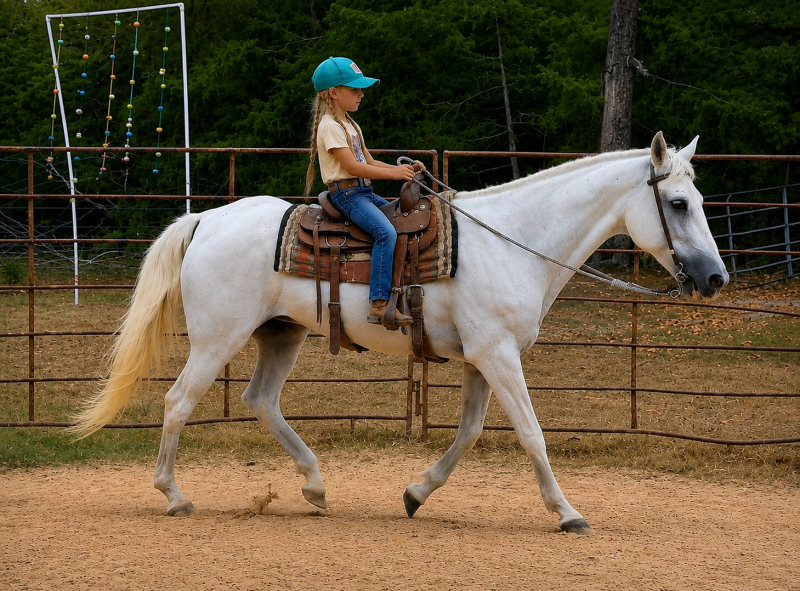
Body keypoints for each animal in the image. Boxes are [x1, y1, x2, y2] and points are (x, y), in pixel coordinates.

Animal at [71, 132, 728, 535]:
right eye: (677, 202)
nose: (716, 276)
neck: (514, 240)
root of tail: (205, 218)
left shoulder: (481, 357)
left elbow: (468, 434)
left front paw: (417, 493)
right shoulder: (498, 354)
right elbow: (532, 434)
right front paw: (566, 513)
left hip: (280, 334)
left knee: (260, 400)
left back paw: (315, 487)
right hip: (217, 339)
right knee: (178, 401)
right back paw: (175, 495)